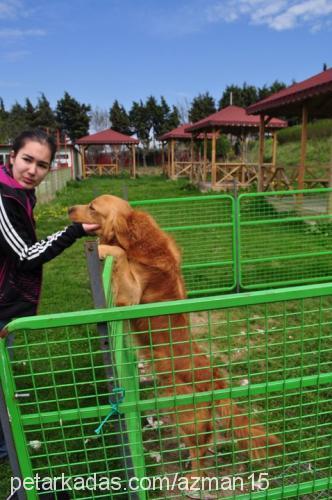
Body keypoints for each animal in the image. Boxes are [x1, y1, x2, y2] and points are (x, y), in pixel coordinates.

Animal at [68, 194, 280, 476]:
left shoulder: (132, 295)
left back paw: (192, 477)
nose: (69, 209)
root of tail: (217, 380)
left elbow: (119, 254)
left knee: (199, 450)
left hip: (185, 414)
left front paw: (103, 249)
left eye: (92, 207)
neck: (136, 237)